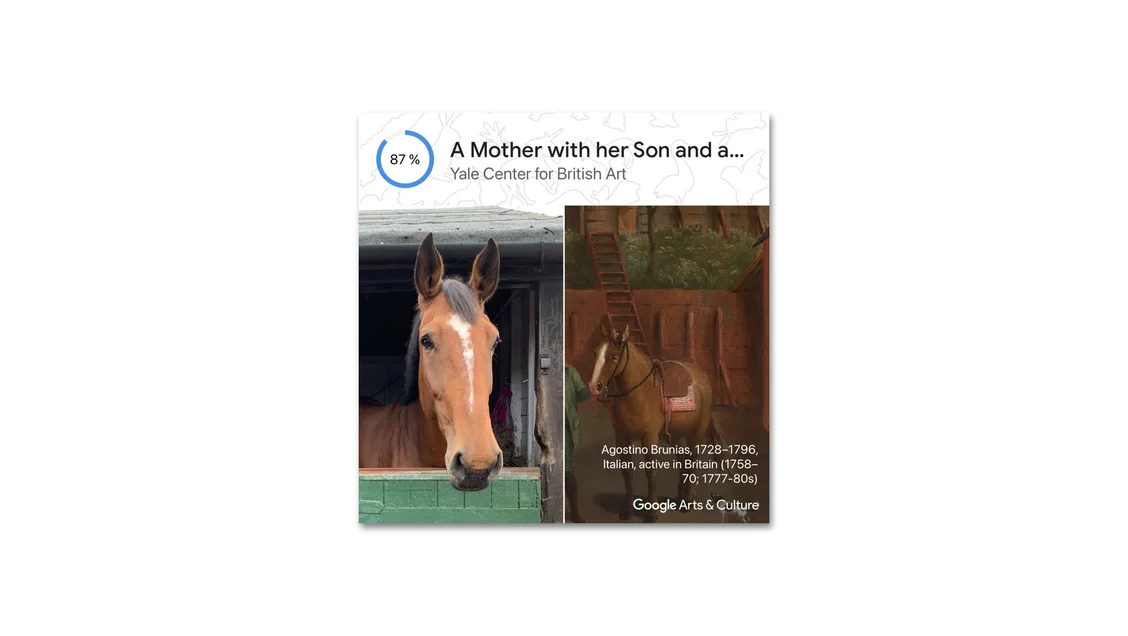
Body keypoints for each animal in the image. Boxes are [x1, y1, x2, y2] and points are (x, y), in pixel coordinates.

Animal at [586, 322, 717, 520]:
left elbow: (651, 473)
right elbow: (627, 473)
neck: (639, 394)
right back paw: (680, 497)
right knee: (682, 460)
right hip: (677, 436)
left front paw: (652, 512)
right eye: (595, 353)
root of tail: (700, 376)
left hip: (697, 432)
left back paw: (688, 501)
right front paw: (627, 510)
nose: (595, 387)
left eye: (615, 356)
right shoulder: (621, 437)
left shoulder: (649, 438)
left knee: (692, 460)